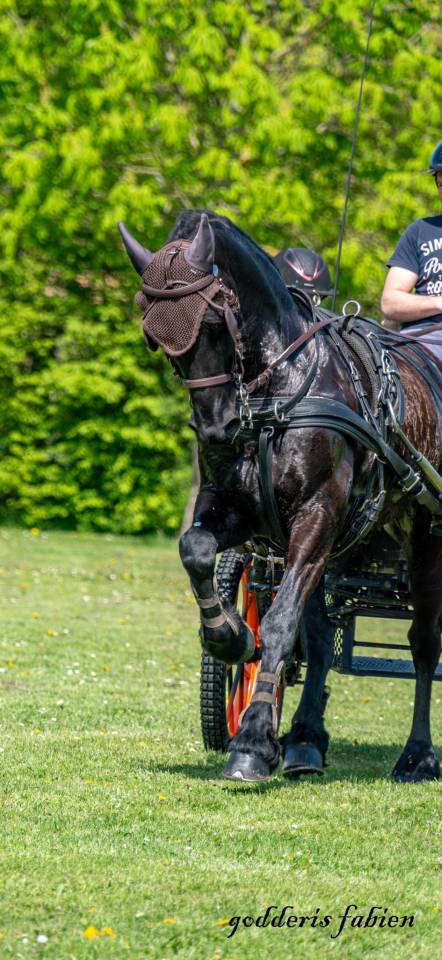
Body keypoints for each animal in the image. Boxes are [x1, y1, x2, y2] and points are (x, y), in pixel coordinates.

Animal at [118, 209, 442, 783]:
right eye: (156, 338)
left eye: (212, 320)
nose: (218, 429)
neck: (279, 393)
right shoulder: (240, 509)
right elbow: (196, 552)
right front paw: (231, 638)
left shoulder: (318, 513)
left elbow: (281, 619)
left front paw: (250, 742)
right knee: (319, 634)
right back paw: (305, 739)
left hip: (422, 531)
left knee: (423, 644)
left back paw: (418, 754)